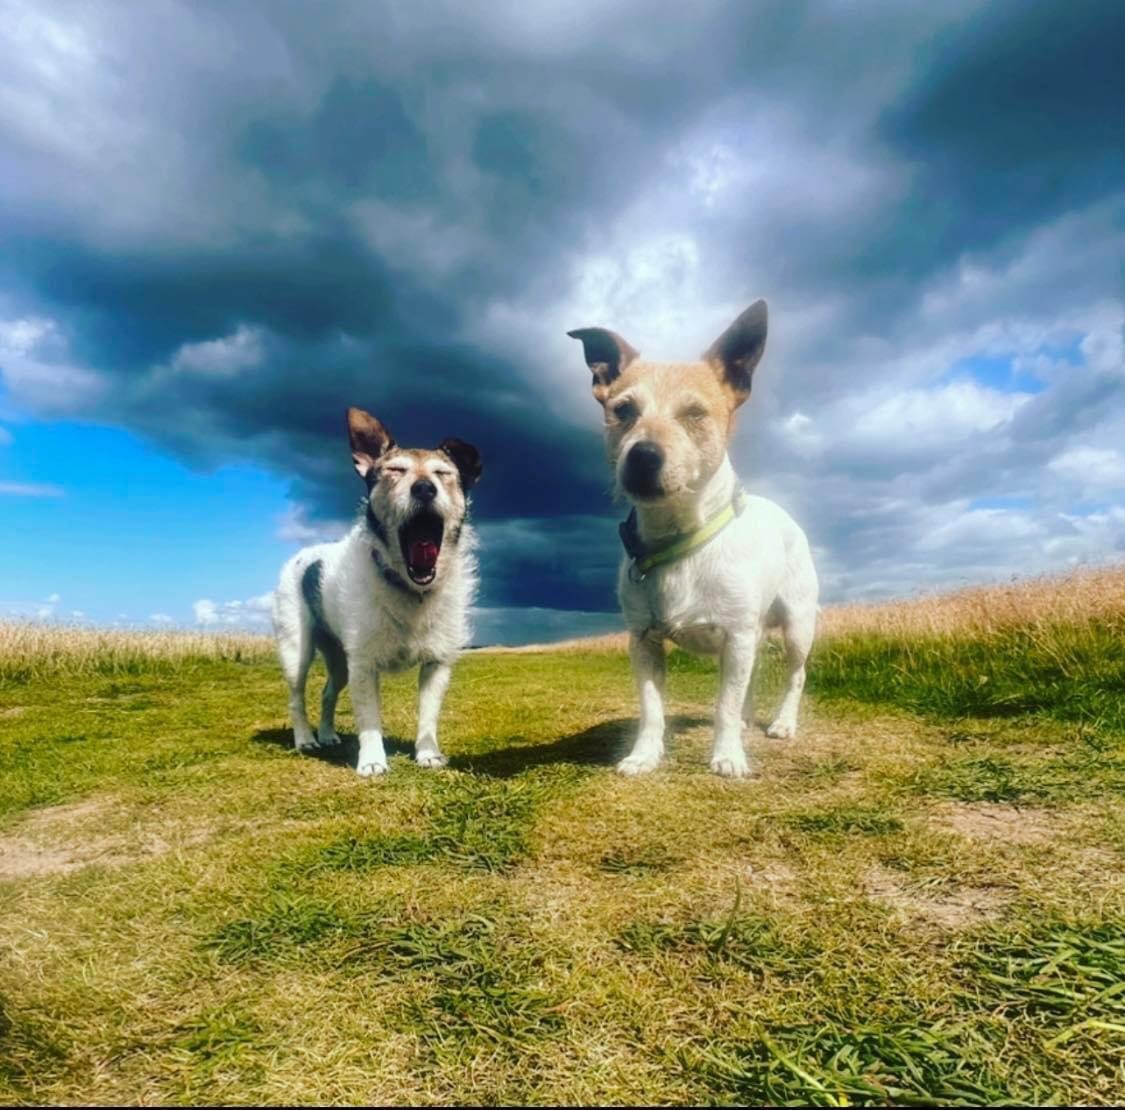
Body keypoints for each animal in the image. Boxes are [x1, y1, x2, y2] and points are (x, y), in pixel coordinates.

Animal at [276, 402, 483, 778]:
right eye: (395, 470)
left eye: (443, 473)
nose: (424, 488)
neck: (408, 588)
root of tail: (304, 555)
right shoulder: (363, 665)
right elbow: (369, 720)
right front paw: (372, 760)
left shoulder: (437, 665)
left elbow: (428, 716)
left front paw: (428, 754)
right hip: (297, 648)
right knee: (296, 697)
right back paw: (306, 739)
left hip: (338, 659)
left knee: (327, 692)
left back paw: (327, 734)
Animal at [571, 299, 819, 778]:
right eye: (623, 410)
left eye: (695, 414)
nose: (643, 456)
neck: (679, 539)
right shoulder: (643, 641)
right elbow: (653, 709)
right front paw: (644, 756)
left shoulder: (737, 636)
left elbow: (724, 703)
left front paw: (727, 756)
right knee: (751, 679)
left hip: (797, 624)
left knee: (793, 675)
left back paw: (782, 723)